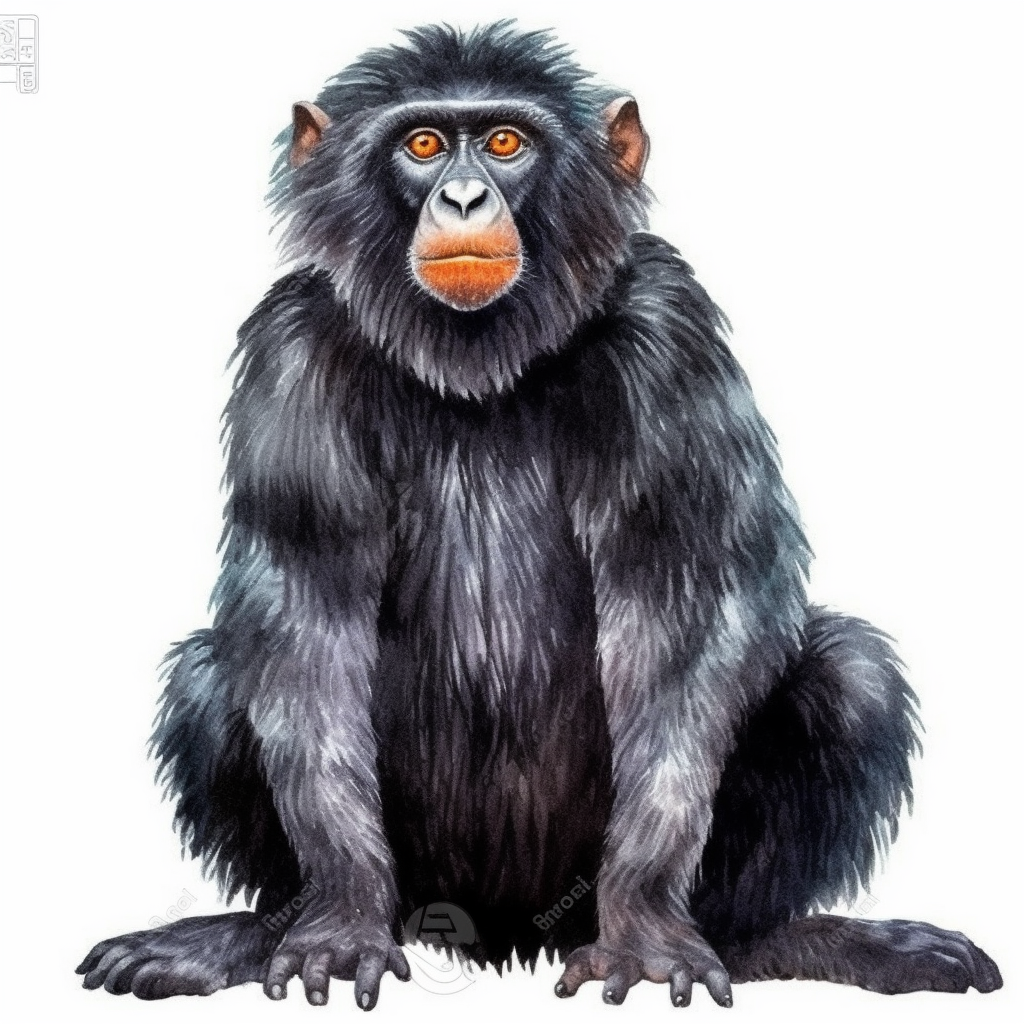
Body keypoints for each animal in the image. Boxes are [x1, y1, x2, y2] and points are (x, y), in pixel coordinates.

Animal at [76, 22, 1001, 1009]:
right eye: (424, 144)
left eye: (506, 142)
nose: (464, 193)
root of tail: (503, 937)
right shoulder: (291, 353)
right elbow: (306, 625)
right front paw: (338, 924)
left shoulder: (671, 334)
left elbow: (687, 614)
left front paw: (647, 933)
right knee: (210, 679)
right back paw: (241, 937)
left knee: (850, 676)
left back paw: (805, 940)